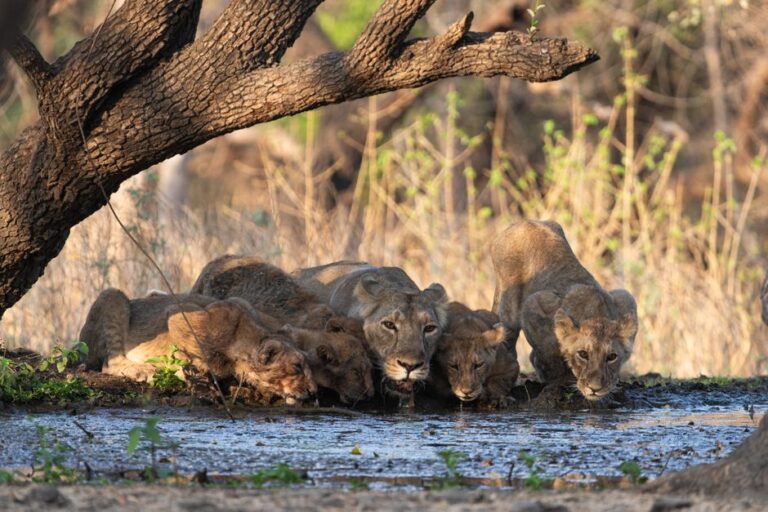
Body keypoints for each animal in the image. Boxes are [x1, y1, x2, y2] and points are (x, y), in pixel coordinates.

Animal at [79, 289, 316, 404]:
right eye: (297, 367)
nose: (314, 392)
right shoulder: (177, 315)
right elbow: (192, 357)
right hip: (113, 296)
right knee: (109, 364)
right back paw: (145, 370)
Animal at [491, 220, 638, 401]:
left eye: (611, 357)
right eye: (583, 354)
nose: (595, 388)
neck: (597, 312)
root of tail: (523, 222)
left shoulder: (626, 297)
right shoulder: (534, 305)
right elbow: (549, 352)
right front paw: (558, 382)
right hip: (509, 305)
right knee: (508, 335)